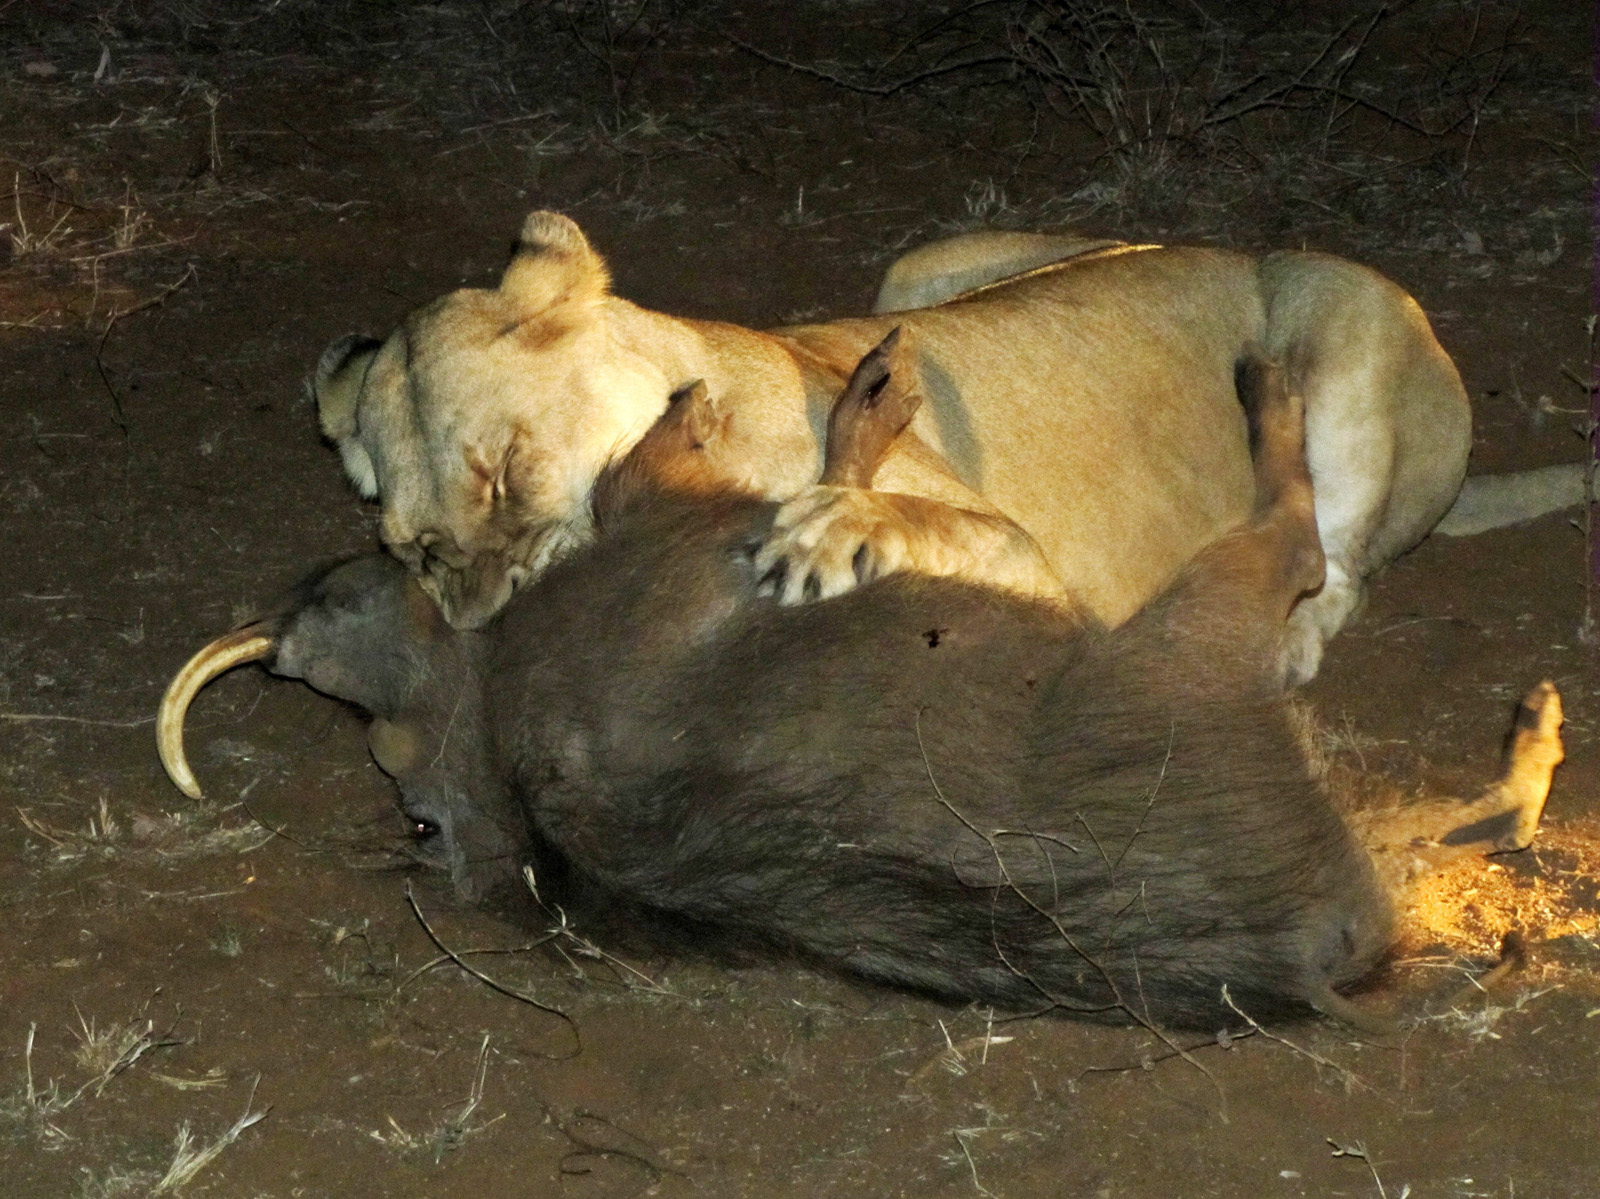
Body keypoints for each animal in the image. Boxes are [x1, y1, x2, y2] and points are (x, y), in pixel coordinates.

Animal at [315, 210, 1494, 683]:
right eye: (414, 552)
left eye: (505, 470)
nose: (491, 627)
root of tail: (1231, 244)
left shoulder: (1049, 577)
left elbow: (917, 515)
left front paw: (834, 526)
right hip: (917, 268)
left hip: (1350, 312)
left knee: (1336, 560)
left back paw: (1285, 643)